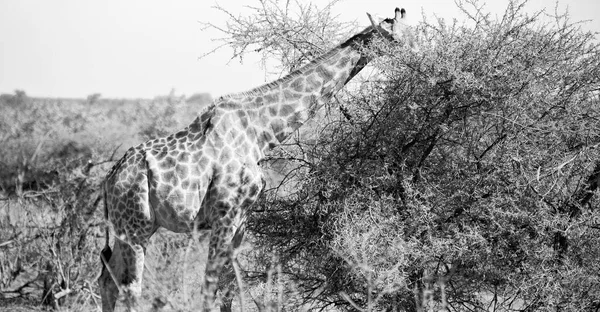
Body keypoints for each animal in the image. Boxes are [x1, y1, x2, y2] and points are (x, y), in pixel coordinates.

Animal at [99, 7, 418, 312]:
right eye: (396, 40)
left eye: (413, 34)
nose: (417, 60)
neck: (261, 132)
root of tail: (109, 179)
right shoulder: (225, 214)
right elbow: (209, 284)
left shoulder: (242, 219)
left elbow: (227, 286)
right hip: (135, 226)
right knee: (130, 287)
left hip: (134, 226)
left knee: (108, 279)